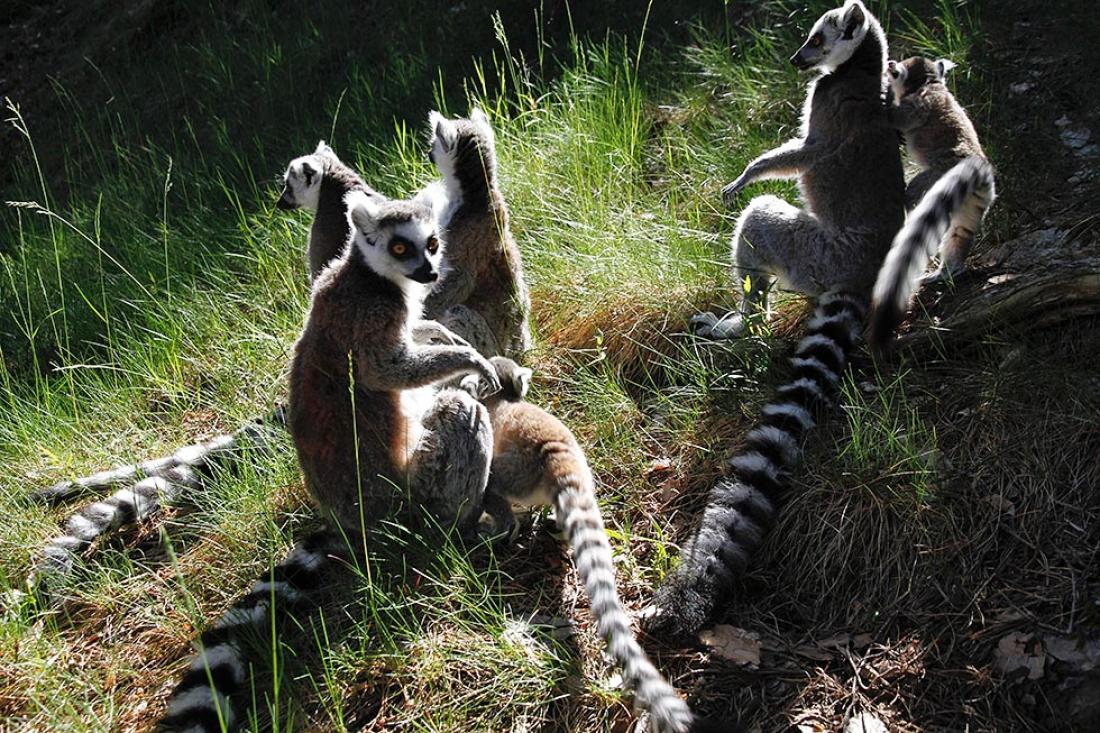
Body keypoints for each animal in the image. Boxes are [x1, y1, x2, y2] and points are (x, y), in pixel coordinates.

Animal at [158, 188, 502, 732]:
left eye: (430, 242)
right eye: (401, 248)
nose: (428, 271)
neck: (370, 276)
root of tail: (349, 517)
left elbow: (419, 331)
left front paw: (445, 337)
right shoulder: (372, 316)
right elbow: (385, 370)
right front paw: (470, 360)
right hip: (411, 493)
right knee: (459, 414)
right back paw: (460, 528)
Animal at [651, 0, 904, 640]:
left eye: (816, 38)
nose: (795, 60)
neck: (862, 69)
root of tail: (863, 273)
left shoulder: (827, 114)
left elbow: (795, 155)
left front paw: (743, 174)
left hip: (811, 253)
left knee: (759, 221)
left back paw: (737, 327)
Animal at [868, 57, 996, 348]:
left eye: (897, 68)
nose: (891, 63)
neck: (929, 83)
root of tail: (980, 166)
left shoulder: (919, 104)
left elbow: (896, 117)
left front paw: (885, 96)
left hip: (938, 174)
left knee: (915, 195)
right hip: (975, 202)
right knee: (960, 233)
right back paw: (949, 271)